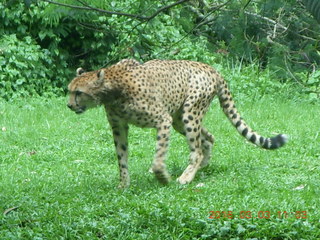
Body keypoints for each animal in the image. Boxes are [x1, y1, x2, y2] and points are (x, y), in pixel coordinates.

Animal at [67, 58, 288, 188]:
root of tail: (212, 68)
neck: (113, 89)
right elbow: (121, 157)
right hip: (179, 119)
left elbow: (159, 157)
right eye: (69, 90)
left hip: (189, 113)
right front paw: (123, 184)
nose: (69, 105)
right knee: (208, 139)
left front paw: (163, 177)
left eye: (78, 92)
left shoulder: (162, 120)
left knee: (196, 148)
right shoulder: (119, 126)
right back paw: (201, 166)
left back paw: (187, 176)